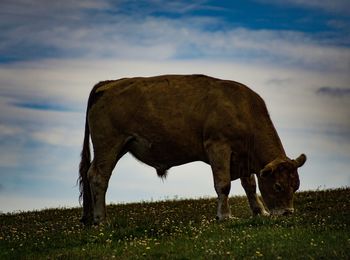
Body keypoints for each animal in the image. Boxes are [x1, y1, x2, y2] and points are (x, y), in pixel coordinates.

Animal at [78, 74, 306, 224]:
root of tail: (108, 84)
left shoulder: (242, 157)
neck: (242, 108)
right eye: (278, 186)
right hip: (108, 145)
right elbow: (223, 184)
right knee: (98, 176)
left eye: (296, 185)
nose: (288, 212)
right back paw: (101, 220)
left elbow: (249, 185)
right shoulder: (218, 146)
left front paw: (260, 211)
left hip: (119, 146)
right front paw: (225, 216)